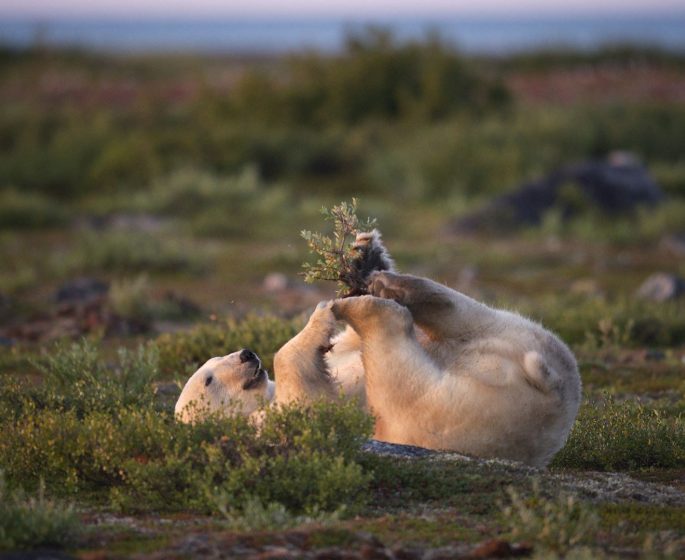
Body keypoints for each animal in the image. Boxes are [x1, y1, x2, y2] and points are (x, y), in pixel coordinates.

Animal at [175, 231, 581, 467]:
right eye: (209, 379)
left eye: (217, 359)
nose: (247, 354)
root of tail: (547, 386)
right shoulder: (275, 423)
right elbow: (311, 400)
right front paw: (321, 315)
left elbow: (342, 349)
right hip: (456, 412)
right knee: (399, 377)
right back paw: (372, 305)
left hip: (516, 334)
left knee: (464, 316)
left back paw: (376, 274)